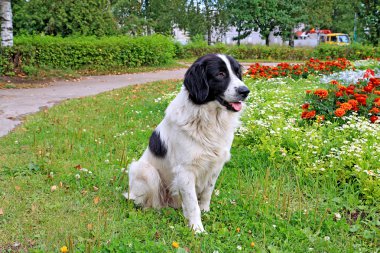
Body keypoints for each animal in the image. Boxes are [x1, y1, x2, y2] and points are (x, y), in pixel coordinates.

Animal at [124, 54, 249, 232]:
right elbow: (192, 204)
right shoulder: (185, 171)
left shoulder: (216, 165)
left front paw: (205, 210)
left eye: (238, 73)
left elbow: (207, 192)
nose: (245, 91)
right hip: (145, 170)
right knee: (148, 201)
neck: (209, 120)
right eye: (220, 74)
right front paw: (197, 228)